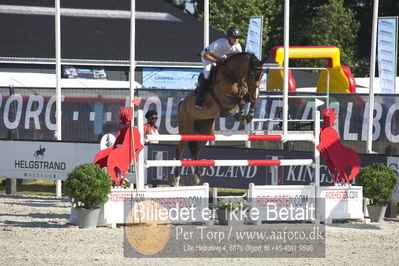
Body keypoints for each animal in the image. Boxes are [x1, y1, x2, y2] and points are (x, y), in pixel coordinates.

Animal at [175, 51, 268, 185]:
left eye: (261, 75)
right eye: (251, 74)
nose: (256, 93)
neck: (233, 76)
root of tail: (182, 104)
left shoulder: (246, 95)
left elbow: (248, 100)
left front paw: (246, 117)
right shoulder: (224, 100)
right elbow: (240, 100)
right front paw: (239, 116)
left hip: (206, 132)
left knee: (196, 151)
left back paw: (196, 178)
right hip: (186, 130)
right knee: (179, 151)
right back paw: (176, 181)